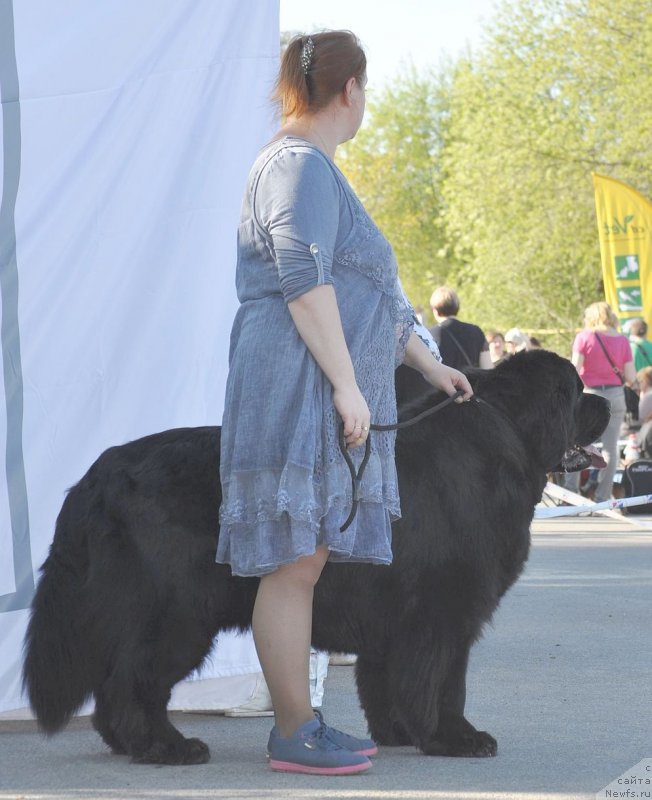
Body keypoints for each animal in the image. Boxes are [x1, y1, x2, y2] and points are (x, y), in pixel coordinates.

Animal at [22, 348, 608, 764]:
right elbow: (445, 683)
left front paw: (399, 733)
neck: (505, 437)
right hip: (178, 611)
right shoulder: (445, 609)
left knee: (116, 683)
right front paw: (455, 738)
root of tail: (99, 476)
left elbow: (386, 680)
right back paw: (166, 747)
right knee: (132, 681)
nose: (606, 402)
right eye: (577, 391)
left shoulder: (394, 616)